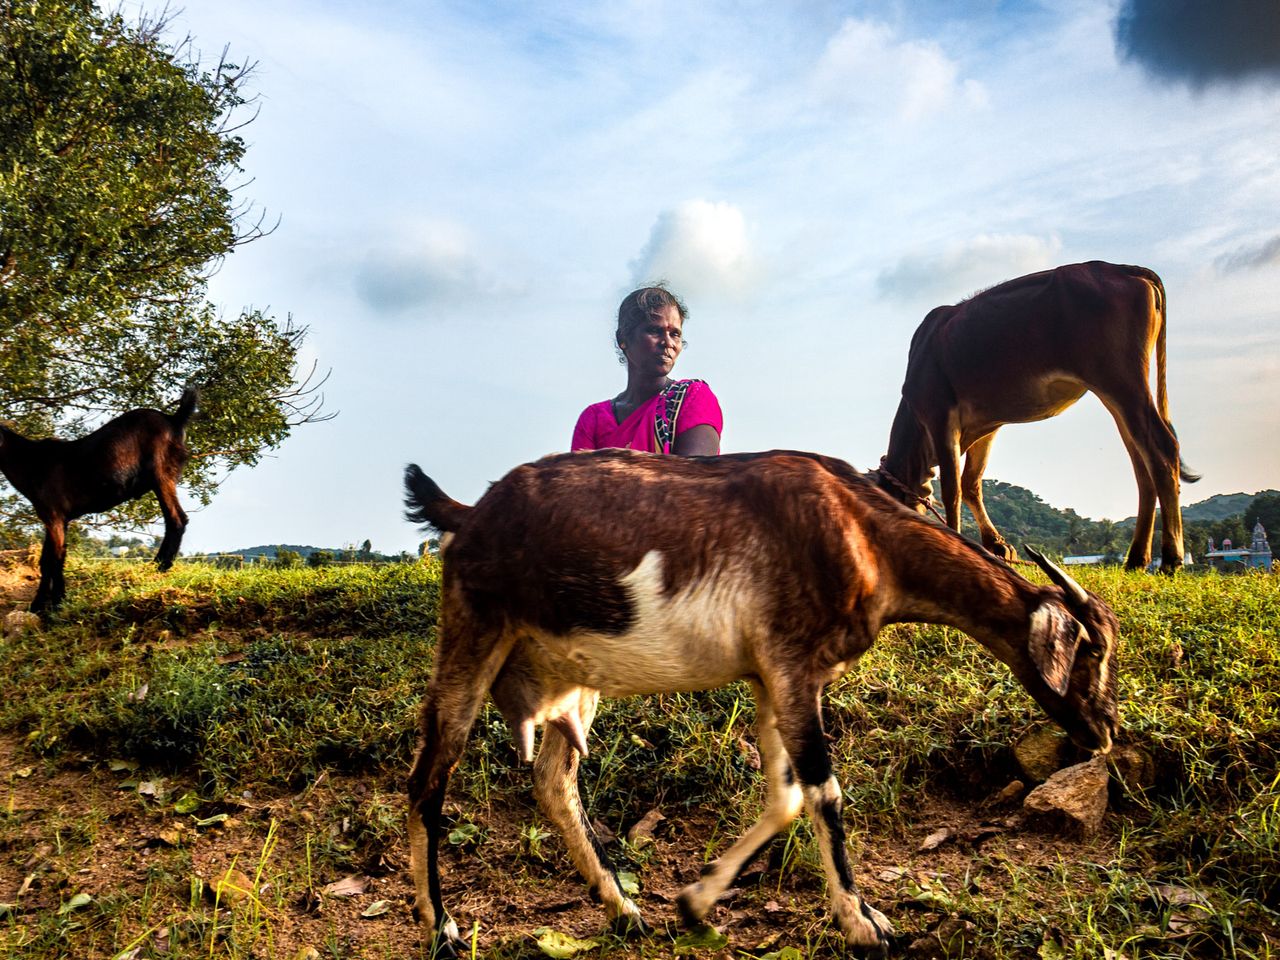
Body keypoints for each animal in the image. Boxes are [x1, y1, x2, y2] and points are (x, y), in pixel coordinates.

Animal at [0, 391, 197, 616]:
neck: (30, 463)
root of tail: (174, 419)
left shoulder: (54, 514)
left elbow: (55, 558)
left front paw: (54, 604)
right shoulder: (56, 518)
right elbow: (48, 558)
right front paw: (45, 603)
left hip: (161, 474)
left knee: (176, 519)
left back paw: (159, 566)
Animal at [401, 450, 1121, 957]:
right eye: (1093, 650)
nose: (1106, 731)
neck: (866, 535)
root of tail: (468, 513)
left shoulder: (770, 678)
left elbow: (787, 797)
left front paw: (696, 901)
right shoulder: (795, 666)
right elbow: (824, 794)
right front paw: (863, 923)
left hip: (572, 679)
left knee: (554, 780)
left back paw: (625, 911)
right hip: (472, 631)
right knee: (429, 777)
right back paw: (441, 929)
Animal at [875, 261, 1192, 570]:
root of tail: (1122, 268)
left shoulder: (940, 416)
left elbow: (952, 489)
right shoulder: (987, 424)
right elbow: (971, 483)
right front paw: (997, 546)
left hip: (1122, 382)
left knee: (1163, 448)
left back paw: (1170, 557)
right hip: (1117, 397)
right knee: (1142, 462)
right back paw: (1137, 558)